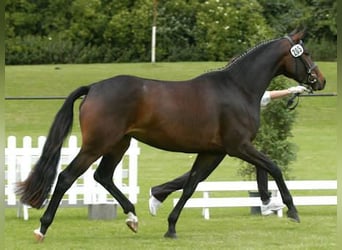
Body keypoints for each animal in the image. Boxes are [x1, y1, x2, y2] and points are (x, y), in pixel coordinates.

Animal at [16, 29, 326, 242]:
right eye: (306, 53)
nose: (319, 81)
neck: (237, 87)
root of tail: (93, 87)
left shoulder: (214, 151)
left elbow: (190, 185)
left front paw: (171, 226)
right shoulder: (237, 146)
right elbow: (273, 166)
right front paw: (291, 209)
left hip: (118, 144)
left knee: (102, 176)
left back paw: (133, 217)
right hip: (96, 145)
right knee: (66, 177)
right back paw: (42, 228)